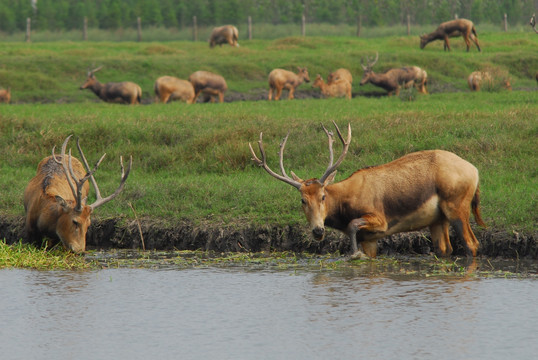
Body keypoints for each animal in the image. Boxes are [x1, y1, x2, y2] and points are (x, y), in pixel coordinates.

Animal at [249, 122, 484, 258]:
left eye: (323, 196)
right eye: (302, 200)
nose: (318, 230)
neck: (343, 209)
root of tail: (475, 171)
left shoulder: (381, 220)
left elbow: (354, 224)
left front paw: (353, 254)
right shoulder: (369, 239)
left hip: (456, 205)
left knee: (472, 244)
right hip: (437, 219)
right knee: (445, 249)